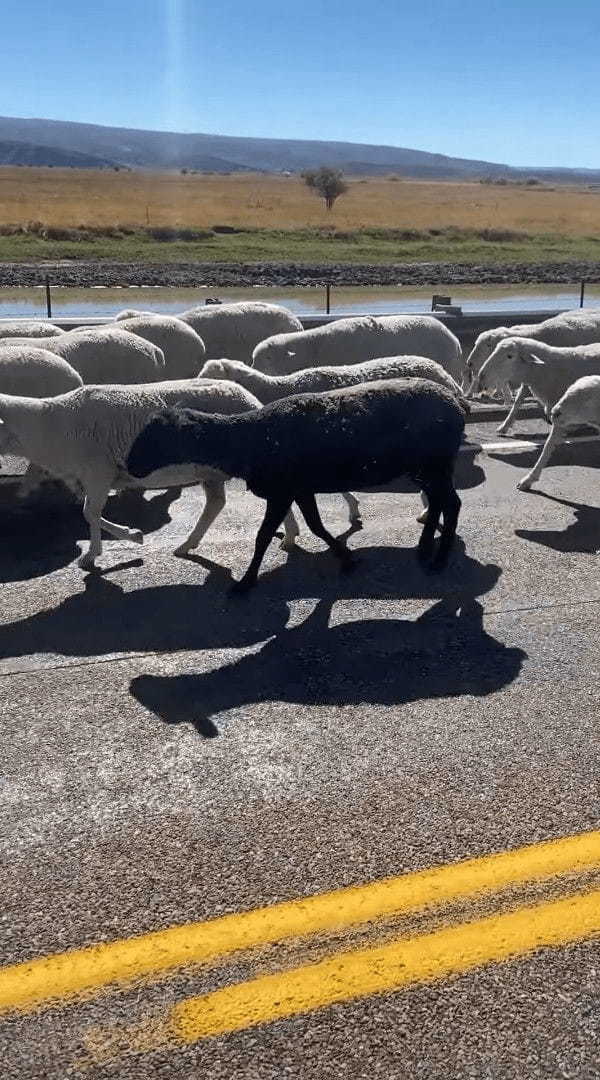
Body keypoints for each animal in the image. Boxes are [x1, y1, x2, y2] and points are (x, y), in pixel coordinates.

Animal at [125, 378, 464, 591]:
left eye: (157, 437)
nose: (130, 466)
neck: (246, 440)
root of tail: (457, 405)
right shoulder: (299, 489)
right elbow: (316, 526)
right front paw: (346, 558)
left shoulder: (282, 491)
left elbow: (262, 537)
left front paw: (245, 582)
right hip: (427, 468)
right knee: (438, 501)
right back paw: (423, 548)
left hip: (435, 464)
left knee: (452, 503)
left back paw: (439, 559)